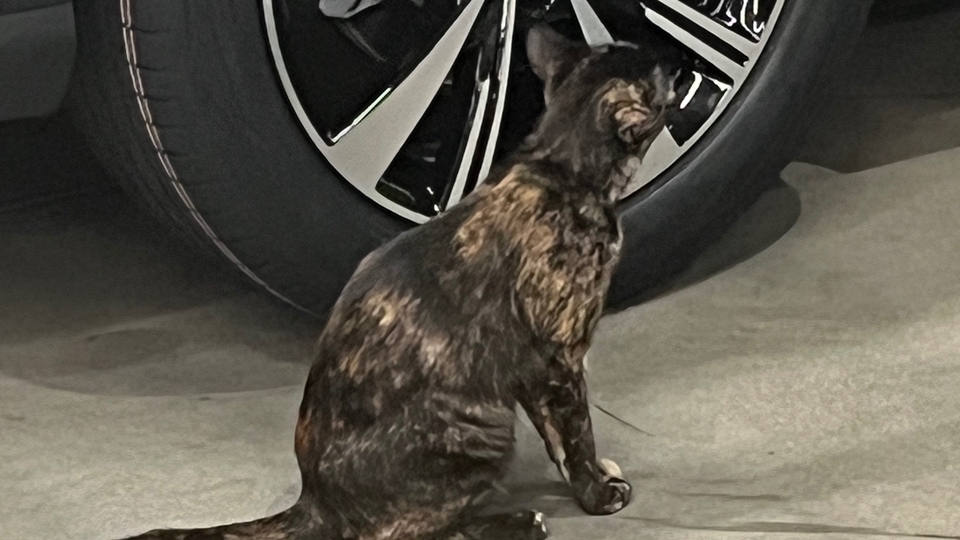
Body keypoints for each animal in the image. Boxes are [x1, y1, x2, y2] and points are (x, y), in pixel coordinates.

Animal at [120, 23, 680, 540]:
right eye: (661, 75)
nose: (679, 60)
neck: (558, 166)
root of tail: (315, 501)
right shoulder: (557, 358)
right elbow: (576, 430)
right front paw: (598, 494)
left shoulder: (525, 365)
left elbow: (557, 437)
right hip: (483, 426)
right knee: (408, 533)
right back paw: (520, 521)